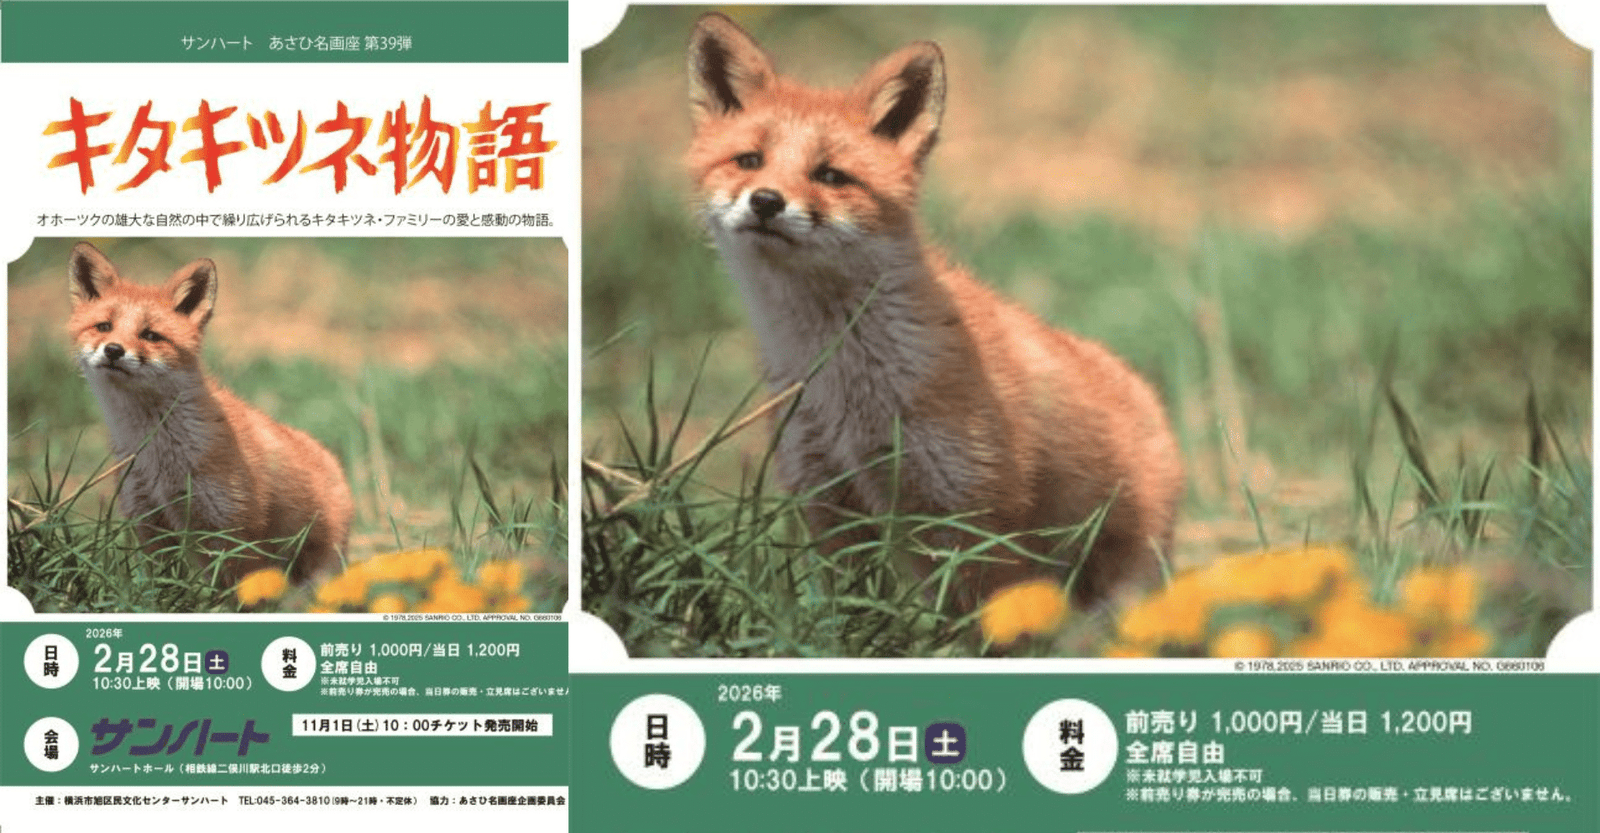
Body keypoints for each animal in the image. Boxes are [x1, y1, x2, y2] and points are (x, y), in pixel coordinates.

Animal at [67, 242, 352, 587]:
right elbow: (157, 587)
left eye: (150, 335)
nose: (113, 350)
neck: (158, 455)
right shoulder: (149, 523)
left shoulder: (231, 530)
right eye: (104, 327)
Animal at [686, 13, 1183, 610]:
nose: (765, 201)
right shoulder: (828, 502)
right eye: (749, 161)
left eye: (830, 176)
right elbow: (841, 611)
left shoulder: (971, 513)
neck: (844, 383)